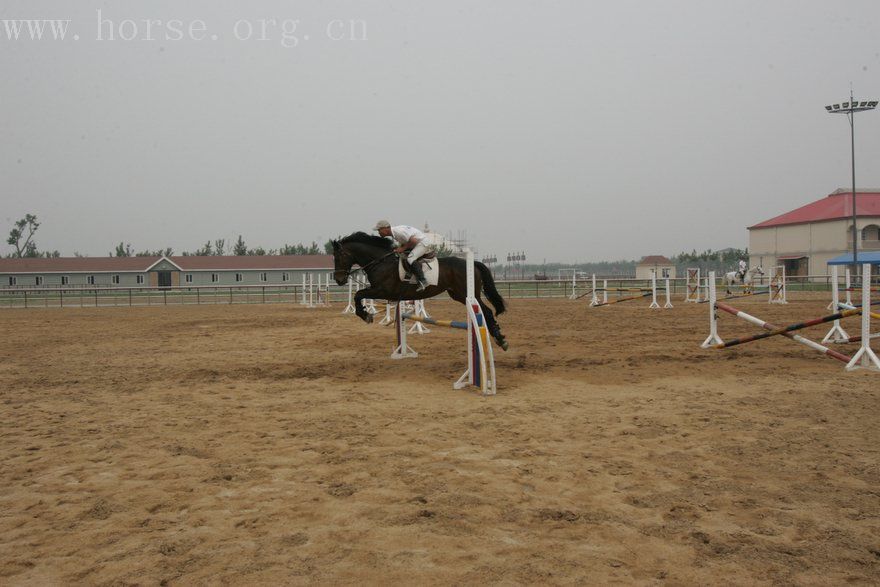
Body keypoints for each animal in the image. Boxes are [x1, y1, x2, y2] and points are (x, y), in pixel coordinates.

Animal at [330, 233, 508, 354]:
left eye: (339, 257)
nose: (339, 279)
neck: (380, 261)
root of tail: (473, 263)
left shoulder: (382, 290)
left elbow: (358, 294)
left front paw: (365, 315)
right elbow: (359, 294)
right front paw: (365, 314)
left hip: (469, 295)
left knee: (486, 311)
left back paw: (500, 338)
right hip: (457, 295)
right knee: (485, 311)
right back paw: (498, 337)